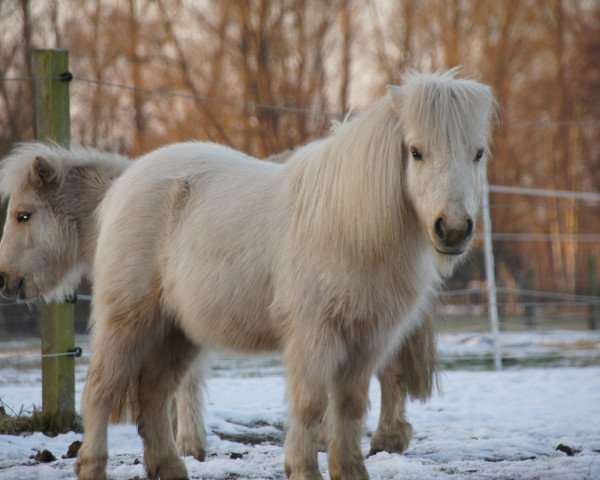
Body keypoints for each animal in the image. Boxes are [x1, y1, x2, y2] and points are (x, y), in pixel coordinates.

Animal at [76, 70, 496, 480]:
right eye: (415, 151)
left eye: (478, 153)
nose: (453, 230)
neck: (351, 226)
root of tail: (124, 184)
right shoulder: (314, 335)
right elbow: (311, 405)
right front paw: (303, 469)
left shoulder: (367, 341)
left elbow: (351, 406)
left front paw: (350, 470)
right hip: (127, 322)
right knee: (100, 390)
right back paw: (93, 466)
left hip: (176, 331)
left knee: (153, 396)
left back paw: (169, 467)